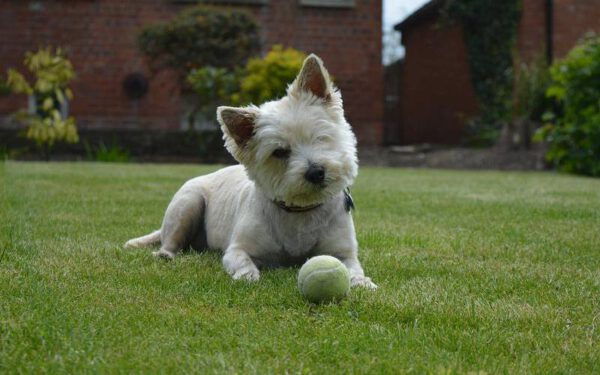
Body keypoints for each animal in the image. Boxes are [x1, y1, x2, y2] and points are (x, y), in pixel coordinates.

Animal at [125, 54, 378, 290]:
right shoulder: (237, 249)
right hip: (187, 204)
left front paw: (361, 282)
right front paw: (248, 276)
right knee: (170, 240)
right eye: (279, 152)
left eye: (320, 137)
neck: (300, 212)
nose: (316, 172)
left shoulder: (343, 252)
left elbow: (352, 267)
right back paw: (165, 254)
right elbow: (242, 261)